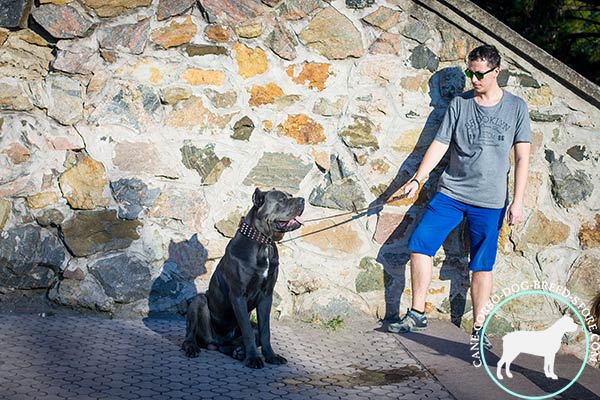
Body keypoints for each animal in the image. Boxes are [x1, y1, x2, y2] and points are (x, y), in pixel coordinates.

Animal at [182, 188, 304, 368]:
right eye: (282, 199)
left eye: (291, 196)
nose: (302, 200)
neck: (263, 243)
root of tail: (216, 342)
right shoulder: (238, 296)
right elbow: (247, 331)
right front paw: (253, 358)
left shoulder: (266, 296)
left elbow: (265, 331)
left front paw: (271, 356)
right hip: (199, 302)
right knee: (191, 333)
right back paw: (192, 347)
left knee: (240, 340)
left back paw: (238, 352)